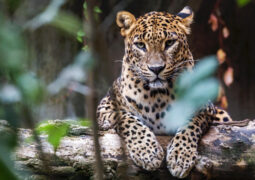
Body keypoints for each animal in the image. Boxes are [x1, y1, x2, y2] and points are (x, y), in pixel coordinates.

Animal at [96, 6, 232, 178]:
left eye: (169, 43)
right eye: (140, 45)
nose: (156, 68)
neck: (157, 95)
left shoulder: (204, 108)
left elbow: (190, 124)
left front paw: (180, 157)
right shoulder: (105, 108)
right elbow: (127, 119)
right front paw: (147, 152)